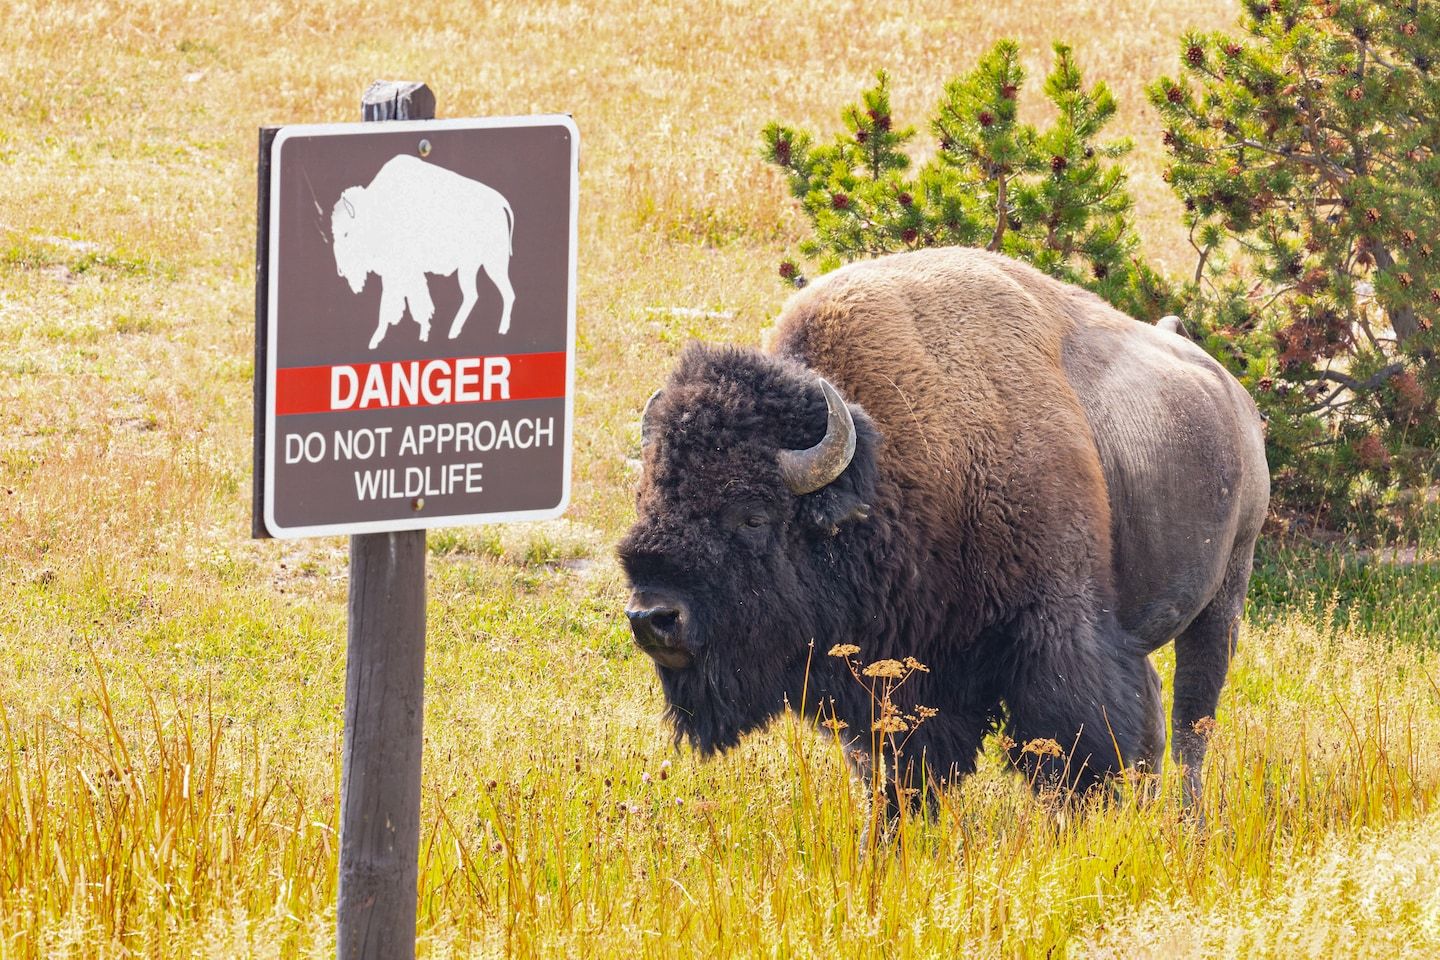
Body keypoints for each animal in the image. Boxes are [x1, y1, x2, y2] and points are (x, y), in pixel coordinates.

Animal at [613, 246, 1267, 805]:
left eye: (752, 516)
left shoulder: (1055, 633)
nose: (653, 618)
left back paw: (1186, 819)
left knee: (1191, 722)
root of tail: (1231, 394)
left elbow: (1073, 747)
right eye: (648, 500)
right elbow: (892, 769)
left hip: (1224, 595)